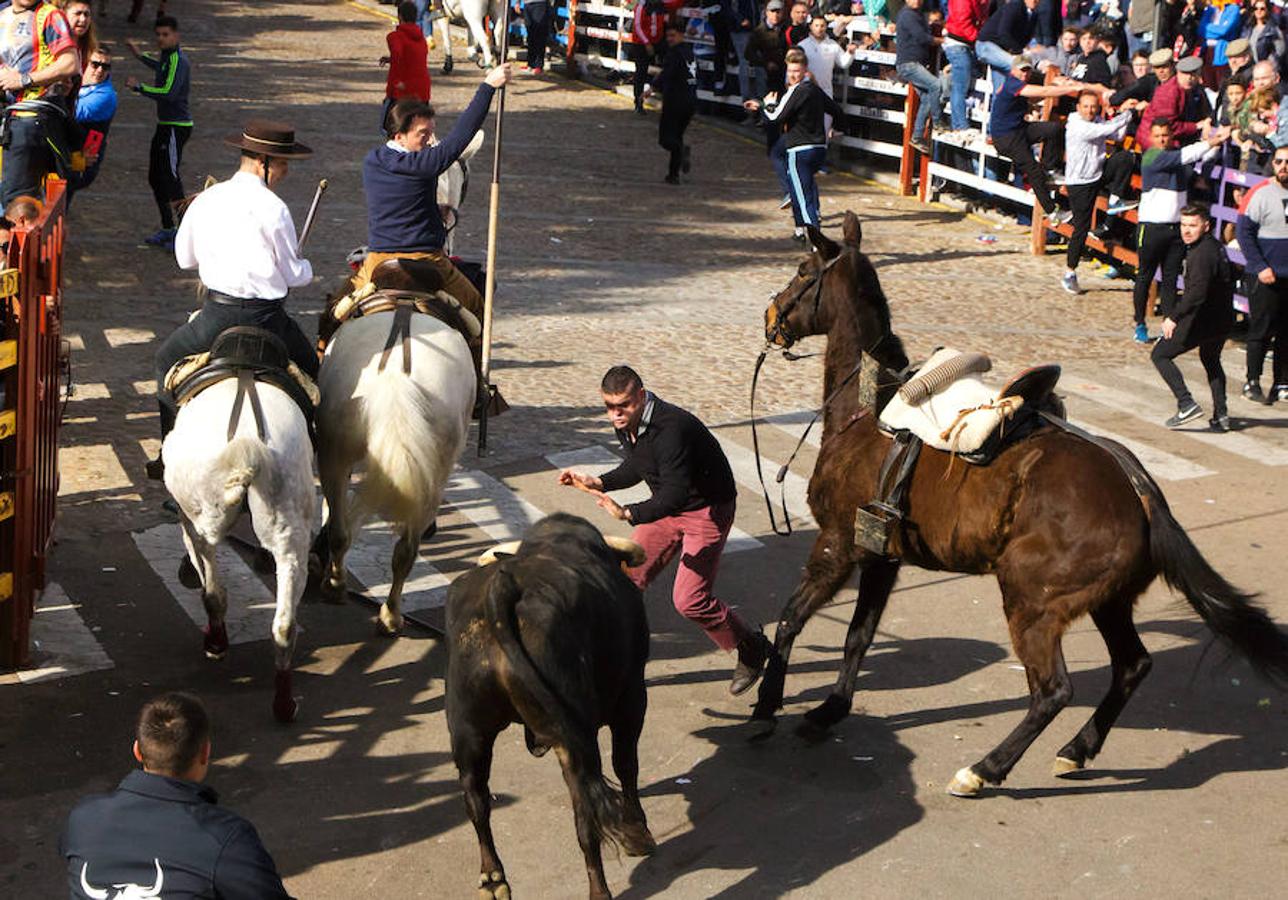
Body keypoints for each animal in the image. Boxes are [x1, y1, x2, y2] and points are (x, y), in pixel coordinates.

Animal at [162, 375, 315, 721]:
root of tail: (248, 449)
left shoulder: (187, 520)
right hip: (290, 533)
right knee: (284, 623)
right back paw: (284, 704)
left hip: (202, 518)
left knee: (213, 591)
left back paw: (216, 642)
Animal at [316, 302, 479, 633]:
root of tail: (395, 377)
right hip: (432, 477)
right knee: (402, 548)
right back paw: (389, 612)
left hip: (334, 456)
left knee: (342, 531)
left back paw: (341, 587)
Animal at [445, 515, 664, 900]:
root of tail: (503, 591)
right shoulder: (632, 695)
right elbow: (626, 764)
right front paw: (638, 831)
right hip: (575, 740)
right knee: (585, 816)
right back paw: (601, 889)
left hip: (467, 729)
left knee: (476, 799)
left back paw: (494, 877)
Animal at [752, 209, 1288, 793]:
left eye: (804, 271)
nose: (771, 316)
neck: (868, 409)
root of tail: (1141, 491)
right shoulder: (880, 558)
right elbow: (858, 636)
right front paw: (829, 709)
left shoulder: (837, 546)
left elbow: (790, 618)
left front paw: (764, 702)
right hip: (1107, 601)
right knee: (1132, 666)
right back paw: (1077, 749)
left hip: (1033, 603)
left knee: (1053, 690)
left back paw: (985, 769)